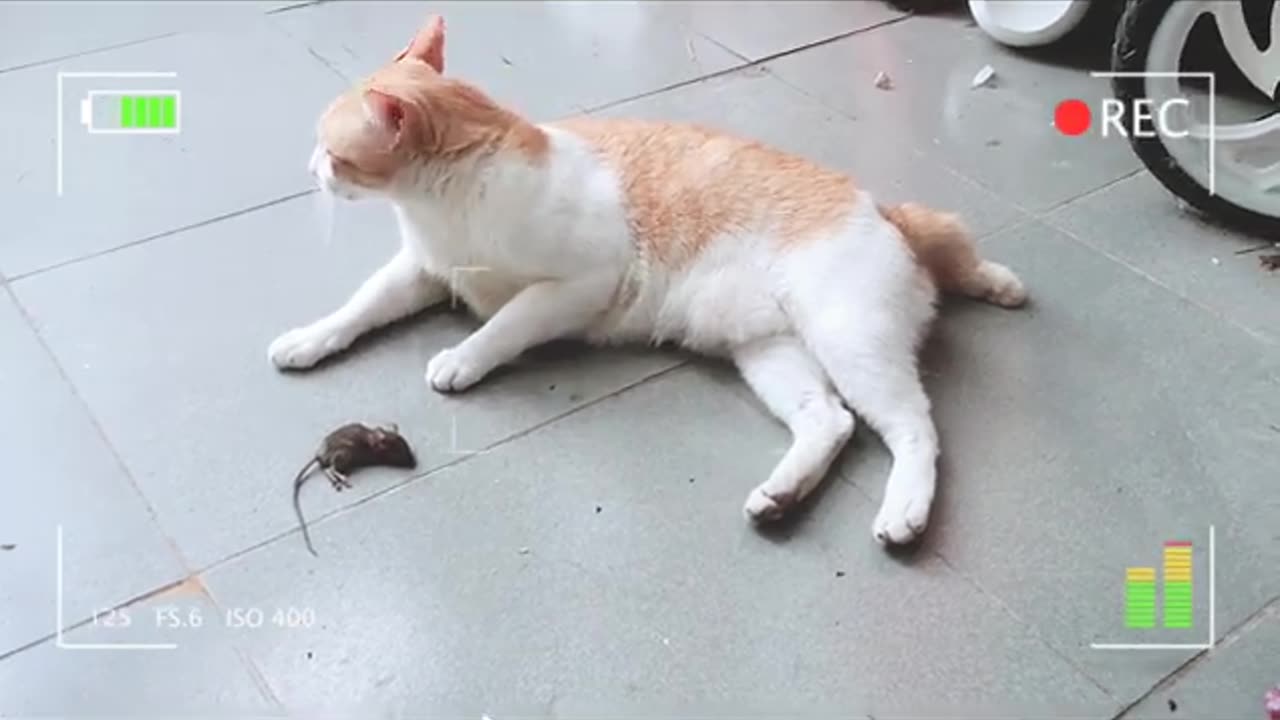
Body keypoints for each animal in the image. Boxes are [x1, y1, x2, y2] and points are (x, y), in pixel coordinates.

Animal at [264, 14, 1024, 543]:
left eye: (333, 153)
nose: (307, 168)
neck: (443, 207)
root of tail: (884, 208)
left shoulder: (577, 286)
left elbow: (507, 322)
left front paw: (463, 357)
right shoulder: (421, 271)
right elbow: (360, 306)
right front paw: (309, 339)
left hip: (851, 344)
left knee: (915, 429)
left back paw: (904, 512)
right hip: (771, 355)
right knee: (829, 422)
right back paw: (780, 497)